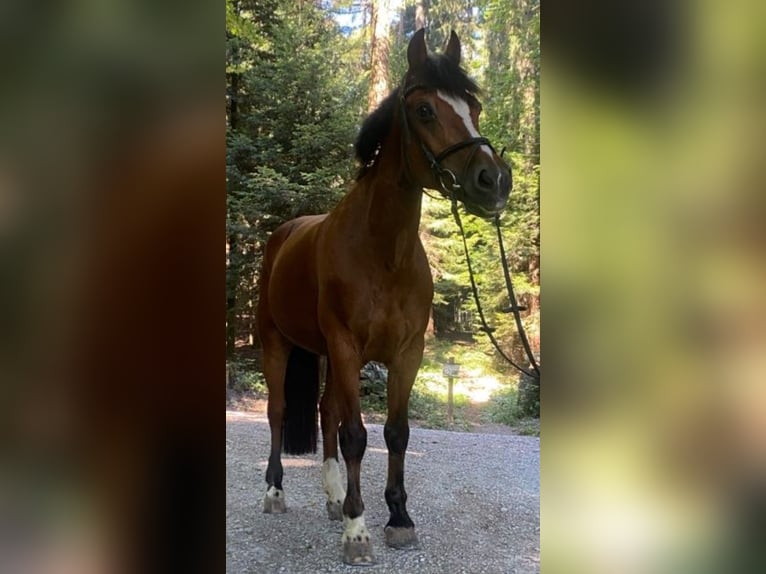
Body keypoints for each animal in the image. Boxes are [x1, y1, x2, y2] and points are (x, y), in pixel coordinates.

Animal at [255, 28, 512, 568]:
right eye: (425, 110)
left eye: (475, 107)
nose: (493, 181)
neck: (383, 252)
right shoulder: (348, 346)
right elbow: (356, 435)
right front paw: (358, 531)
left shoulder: (406, 352)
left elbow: (395, 431)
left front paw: (397, 518)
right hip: (277, 343)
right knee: (279, 411)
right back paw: (276, 493)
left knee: (325, 411)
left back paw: (334, 497)